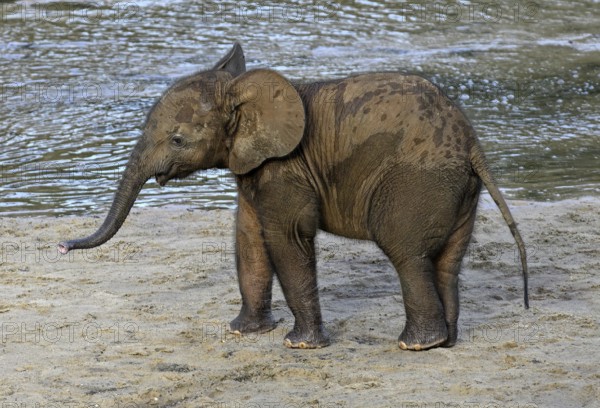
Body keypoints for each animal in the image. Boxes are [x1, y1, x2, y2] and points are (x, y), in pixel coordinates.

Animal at [58, 43, 528, 350]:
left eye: (176, 140)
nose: (62, 246)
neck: (243, 91)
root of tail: (472, 144)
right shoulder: (256, 168)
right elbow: (248, 240)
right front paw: (241, 332)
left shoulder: (284, 169)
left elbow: (285, 240)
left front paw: (299, 346)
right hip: (459, 191)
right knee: (447, 262)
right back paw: (445, 343)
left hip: (418, 182)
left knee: (406, 253)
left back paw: (416, 346)